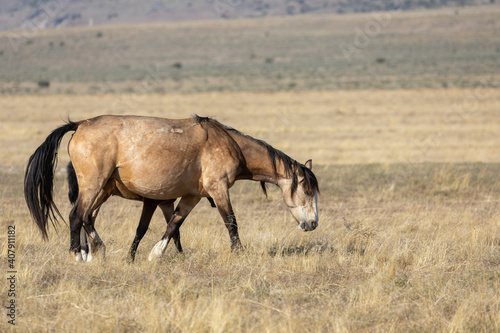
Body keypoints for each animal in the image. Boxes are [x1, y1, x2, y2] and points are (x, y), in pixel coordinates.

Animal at [23, 115, 318, 262]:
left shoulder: (191, 196)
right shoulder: (219, 189)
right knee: (77, 216)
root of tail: (79, 124)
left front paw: (156, 254)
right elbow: (231, 222)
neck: (229, 143)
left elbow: (174, 224)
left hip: (99, 191)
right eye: (307, 190)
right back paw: (78, 255)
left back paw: (94, 250)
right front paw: (239, 254)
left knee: (86, 217)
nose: (313, 223)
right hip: (93, 186)